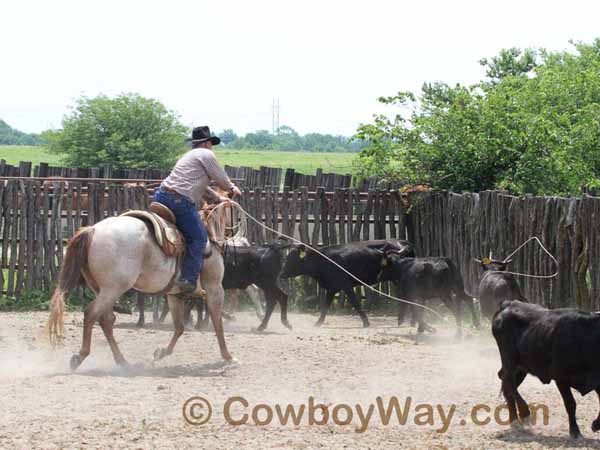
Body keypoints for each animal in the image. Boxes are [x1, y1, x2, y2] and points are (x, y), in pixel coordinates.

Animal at [45, 199, 233, 370]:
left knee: (106, 320)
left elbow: (179, 327)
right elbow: (217, 322)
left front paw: (161, 353)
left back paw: (122, 361)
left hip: (101, 289)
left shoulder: (174, 294)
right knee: (92, 314)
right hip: (113, 289)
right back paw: (80, 356)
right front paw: (228, 356)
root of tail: (93, 230)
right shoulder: (215, 287)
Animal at [280, 239, 412, 326]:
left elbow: (355, 302)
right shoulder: (332, 288)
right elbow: (325, 306)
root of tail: (401, 242)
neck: (324, 260)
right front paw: (318, 322)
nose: (281, 274)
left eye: (291, 259)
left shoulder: (345, 285)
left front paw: (366, 322)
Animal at [494, 300, 600, 438]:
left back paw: (515, 420)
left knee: (507, 386)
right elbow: (570, 403)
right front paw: (575, 431)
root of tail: (508, 304)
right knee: (507, 381)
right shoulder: (560, 378)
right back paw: (524, 413)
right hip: (510, 361)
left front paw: (596, 424)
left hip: (522, 368)